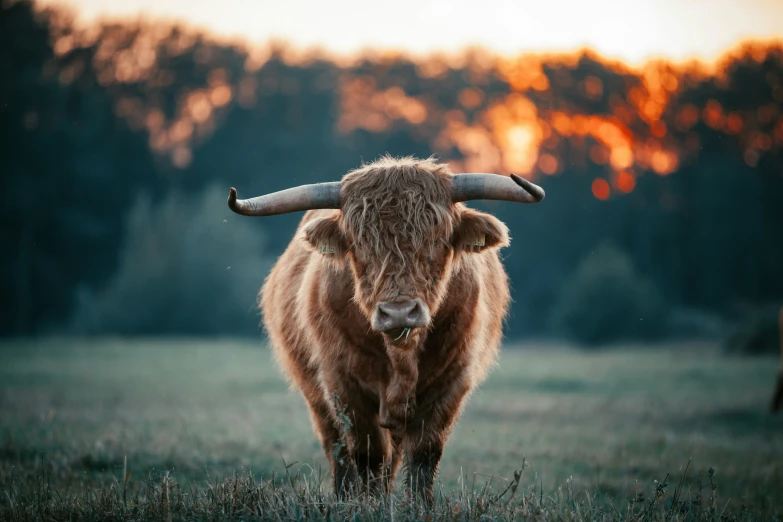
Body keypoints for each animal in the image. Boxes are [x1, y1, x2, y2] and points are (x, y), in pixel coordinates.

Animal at [228, 155, 544, 500]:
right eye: (359, 243)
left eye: (437, 239)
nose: (398, 313)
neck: (401, 355)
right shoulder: (343, 384)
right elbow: (367, 455)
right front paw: (369, 504)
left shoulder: (452, 382)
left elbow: (424, 454)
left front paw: (419, 505)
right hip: (317, 398)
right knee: (338, 450)